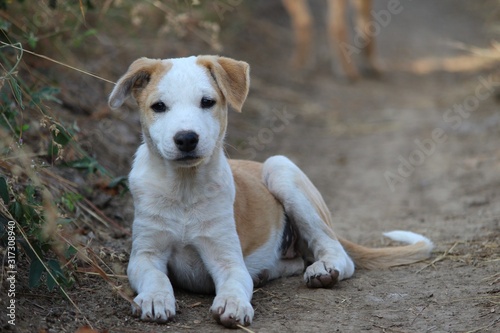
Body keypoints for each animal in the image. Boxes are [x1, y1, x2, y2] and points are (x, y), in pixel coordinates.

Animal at [109, 55, 434, 326]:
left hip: (280, 169)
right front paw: (154, 299)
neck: (184, 188)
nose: (187, 139)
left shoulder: (228, 259)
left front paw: (233, 304)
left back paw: (323, 270)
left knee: (338, 253)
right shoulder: (144, 255)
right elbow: (156, 277)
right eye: (158, 106)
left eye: (207, 102)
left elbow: (235, 283)